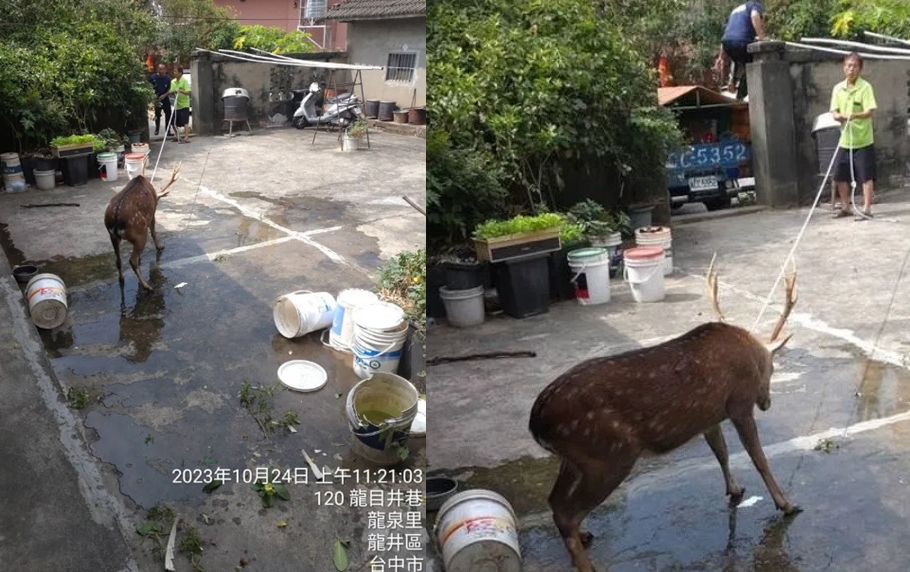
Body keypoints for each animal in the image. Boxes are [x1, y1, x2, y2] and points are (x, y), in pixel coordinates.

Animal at [528, 259, 800, 572]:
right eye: (772, 368)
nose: (767, 403)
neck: (750, 352)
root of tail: (536, 421)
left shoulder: (709, 417)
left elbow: (721, 452)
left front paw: (735, 489)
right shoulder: (739, 404)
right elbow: (759, 459)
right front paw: (787, 504)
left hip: (576, 458)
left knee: (554, 501)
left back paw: (584, 535)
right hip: (608, 455)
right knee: (565, 512)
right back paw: (588, 563)